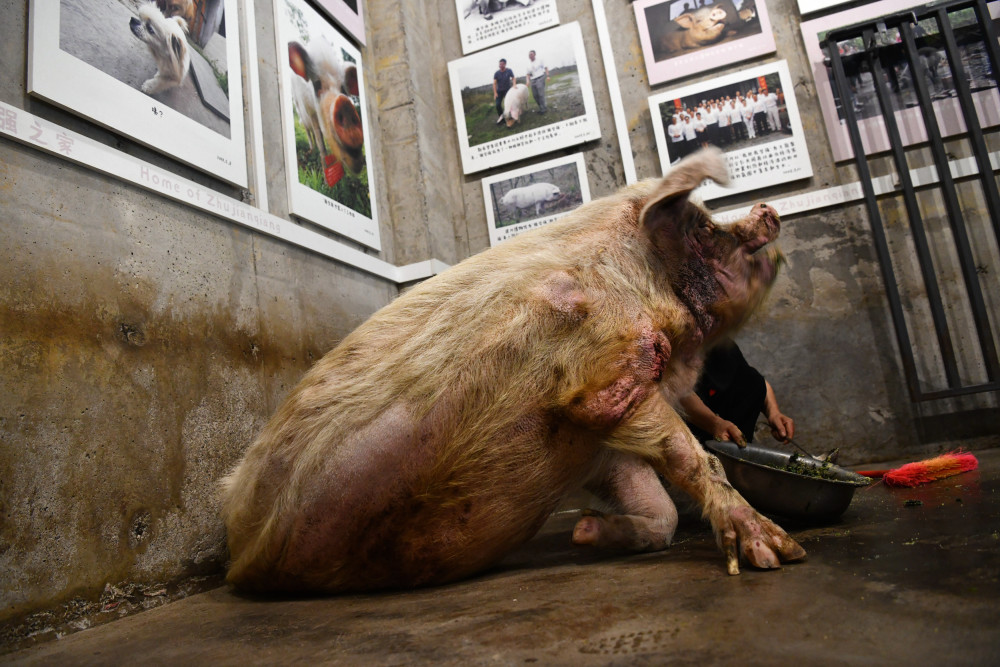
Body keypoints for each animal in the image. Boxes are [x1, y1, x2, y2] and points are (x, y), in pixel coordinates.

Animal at [221, 149, 804, 592]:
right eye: (704, 227)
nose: (767, 206)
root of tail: (238, 565)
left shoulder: (596, 443)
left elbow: (661, 512)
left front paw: (584, 534)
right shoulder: (606, 373)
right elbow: (693, 458)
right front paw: (779, 554)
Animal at [290, 38, 368, 175]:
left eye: (343, 89)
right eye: (317, 85)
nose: (344, 104)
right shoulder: (311, 112)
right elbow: (320, 141)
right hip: (298, 108)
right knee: (308, 131)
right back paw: (311, 150)